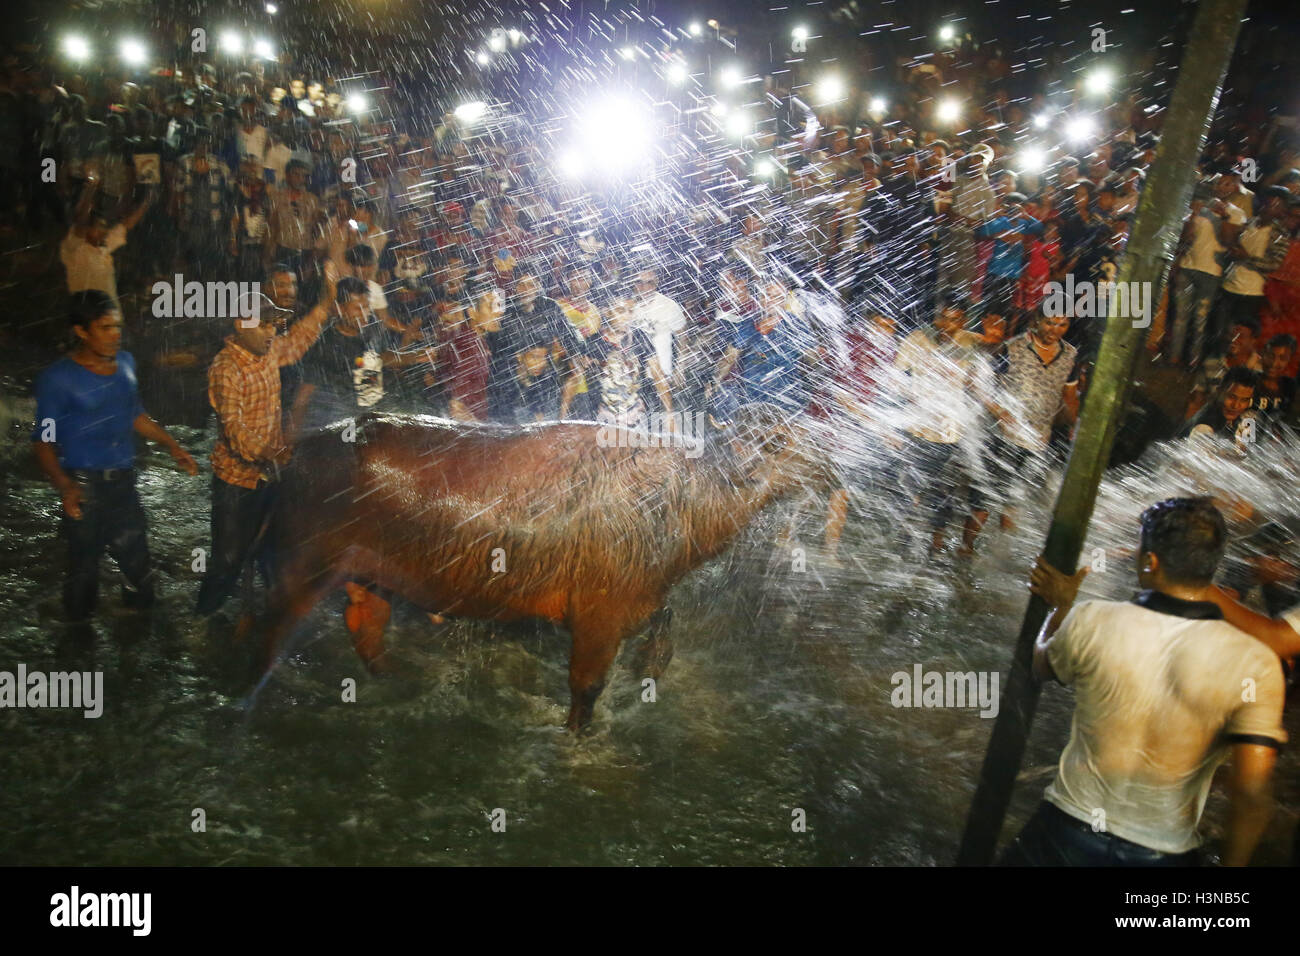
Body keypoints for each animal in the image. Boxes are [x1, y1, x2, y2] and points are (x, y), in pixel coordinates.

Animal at [260, 408, 837, 728]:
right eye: (783, 443)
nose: (834, 468)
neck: (681, 502)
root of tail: (296, 450)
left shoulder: (639, 599)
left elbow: (664, 626)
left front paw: (650, 667)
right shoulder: (599, 614)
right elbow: (586, 689)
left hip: (367, 575)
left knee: (364, 622)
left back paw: (387, 676)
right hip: (298, 567)